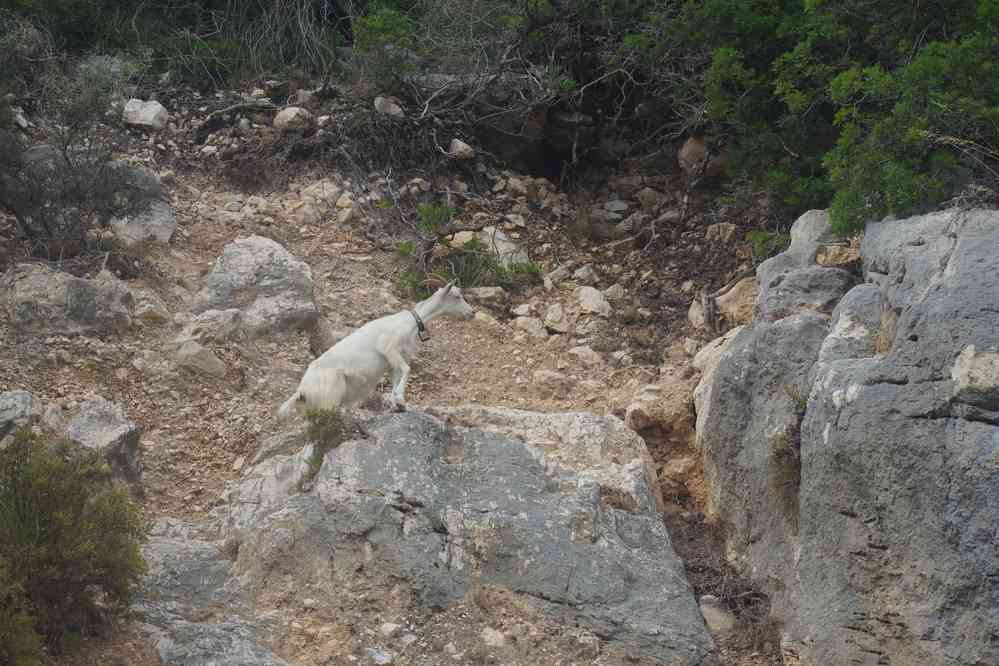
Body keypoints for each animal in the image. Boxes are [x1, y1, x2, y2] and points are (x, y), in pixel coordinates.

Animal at [277, 281, 474, 419]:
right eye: (457, 295)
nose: (471, 313)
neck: (410, 322)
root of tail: (302, 391)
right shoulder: (389, 349)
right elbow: (407, 369)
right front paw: (400, 400)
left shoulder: (394, 360)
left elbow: (397, 377)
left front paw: (399, 405)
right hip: (330, 398)